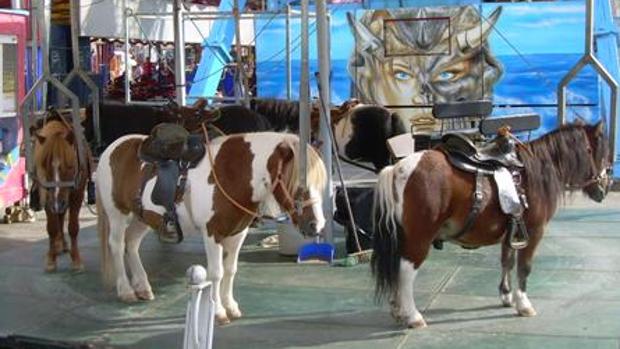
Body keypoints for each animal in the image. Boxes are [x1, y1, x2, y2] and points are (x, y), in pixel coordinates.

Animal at [33, 117, 92, 272]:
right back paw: (59, 245)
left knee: (61, 215)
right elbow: (52, 228)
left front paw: (76, 260)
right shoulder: (47, 196)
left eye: (70, 166)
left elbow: (73, 227)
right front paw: (51, 259)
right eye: (45, 166)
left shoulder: (77, 195)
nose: (57, 203)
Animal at [370, 121, 612, 328]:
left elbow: (507, 261)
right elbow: (524, 267)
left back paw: (397, 309)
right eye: (600, 153)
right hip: (420, 237)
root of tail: (398, 169)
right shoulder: (534, 231)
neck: (537, 169)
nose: (604, 188)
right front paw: (523, 303)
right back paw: (412, 315)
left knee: (396, 267)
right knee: (405, 270)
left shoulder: (512, 230)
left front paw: (506, 295)